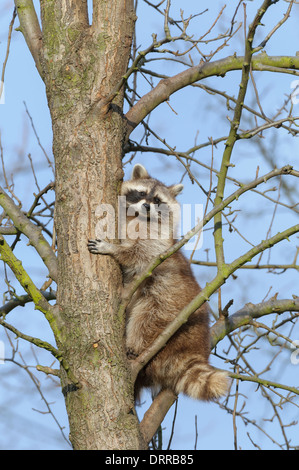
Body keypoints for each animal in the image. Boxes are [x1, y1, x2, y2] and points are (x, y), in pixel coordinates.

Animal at [88, 164, 229, 400]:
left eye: (156, 200)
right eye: (141, 194)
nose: (146, 206)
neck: (138, 218)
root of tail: (194, 349)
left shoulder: (157, 246)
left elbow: (137, 255)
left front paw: (114, 249)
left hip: (168, 305)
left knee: (146, 319)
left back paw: (134, 344)